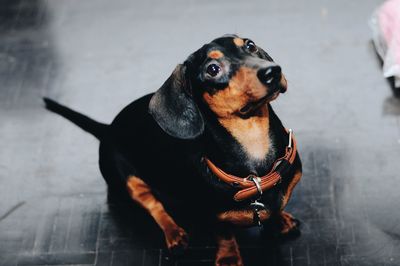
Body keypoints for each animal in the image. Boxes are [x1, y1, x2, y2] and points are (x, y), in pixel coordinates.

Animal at [43, 34, 302, 266]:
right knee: (153, 205)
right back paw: (174, 233)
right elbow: (224, 234)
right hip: (128, 179)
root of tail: (109, 128)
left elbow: (276, 209)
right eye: (213, 69)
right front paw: (229, 258)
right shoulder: (212, 217)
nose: (272, 71)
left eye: (250, 45)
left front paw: (279, 221)